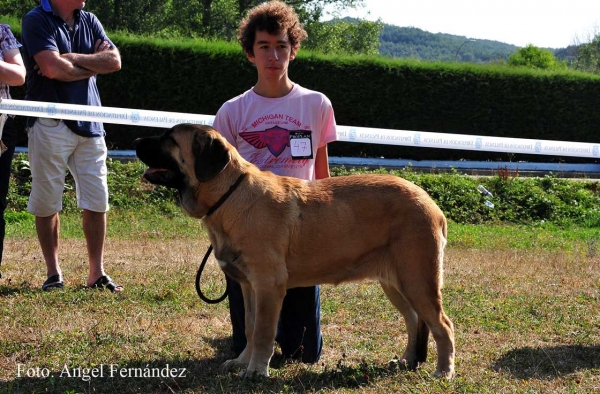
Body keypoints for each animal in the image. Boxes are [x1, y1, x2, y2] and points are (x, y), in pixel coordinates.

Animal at [136, 123, 454, 378]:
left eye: (169, 139)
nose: (136, 140)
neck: (230, 196)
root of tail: (432, 204)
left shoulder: (268, 285)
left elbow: (263, 331)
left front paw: (256, 371)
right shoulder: (250, 287)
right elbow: (250, 327)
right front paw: (242, 362)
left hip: (418, 280)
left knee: (442, 325)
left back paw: (443, 371)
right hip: (395, 283)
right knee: (414, 320)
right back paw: (406, 360)